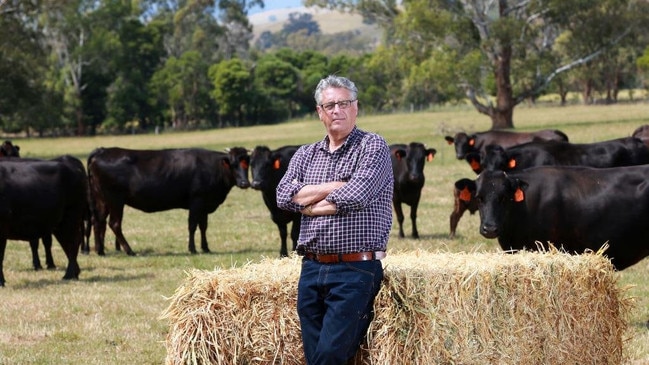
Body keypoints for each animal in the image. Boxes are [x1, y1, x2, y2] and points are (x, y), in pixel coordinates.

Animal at [0, 156, 85, 284]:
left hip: (71, 218)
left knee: (73, 242)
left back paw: (69, 274)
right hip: (59, 224)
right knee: (67, 243)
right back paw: (75, 272)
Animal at [90, 146, 252, 255]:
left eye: (247, 164)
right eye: (233, 164)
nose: (245, 183)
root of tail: (102, 150)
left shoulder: (205, 204)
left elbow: (203, 226)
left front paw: (205, 248)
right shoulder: (197, 201)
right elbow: (192, 226)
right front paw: (192, 249)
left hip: (102, 200)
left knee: (99, 222)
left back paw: (100, 250)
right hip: (115, 200)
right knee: (114, 224)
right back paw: (130, 251)